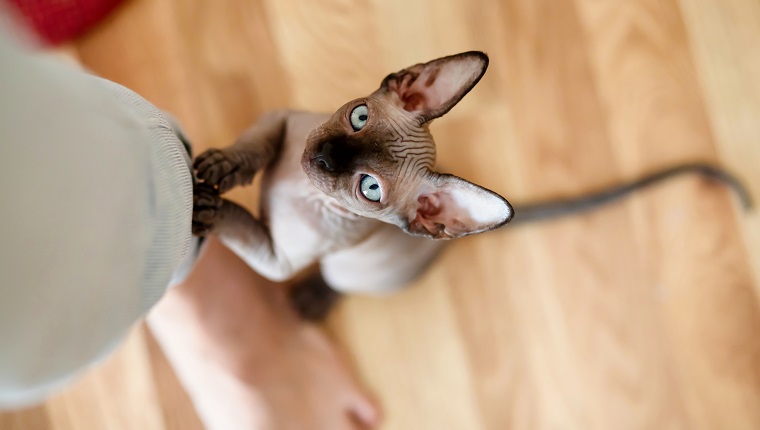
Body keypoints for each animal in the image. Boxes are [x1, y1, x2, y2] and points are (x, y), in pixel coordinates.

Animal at [193, 51, 752, 320]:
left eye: (370, 189)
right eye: (358, 116)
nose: (324, 157)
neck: (301, 189)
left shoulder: (277, 258)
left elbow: (237, 224)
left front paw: (204, 208)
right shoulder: (286, 123)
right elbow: (253, 147)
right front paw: (221, 167)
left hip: (359, 272)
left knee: (340, 282)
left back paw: (313, 301)